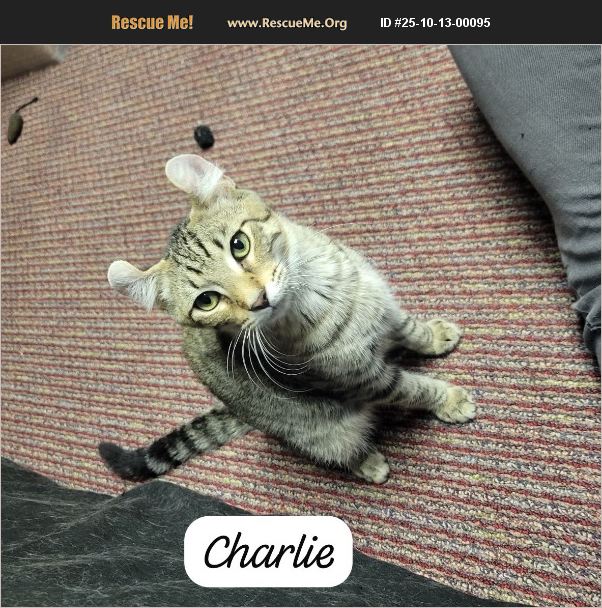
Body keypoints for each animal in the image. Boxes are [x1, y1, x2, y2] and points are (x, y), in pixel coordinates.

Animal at [99, 154, 476, 484]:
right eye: (207, 300)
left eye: (239, 244)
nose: (258, 300)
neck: (324, 295)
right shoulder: (363, 379)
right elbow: (414, 389)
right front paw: (449, 400)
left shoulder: (386, 310)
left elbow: (411, 330)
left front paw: (434, 337)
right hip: (324, 430)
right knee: (338, 451)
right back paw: (367, 462)